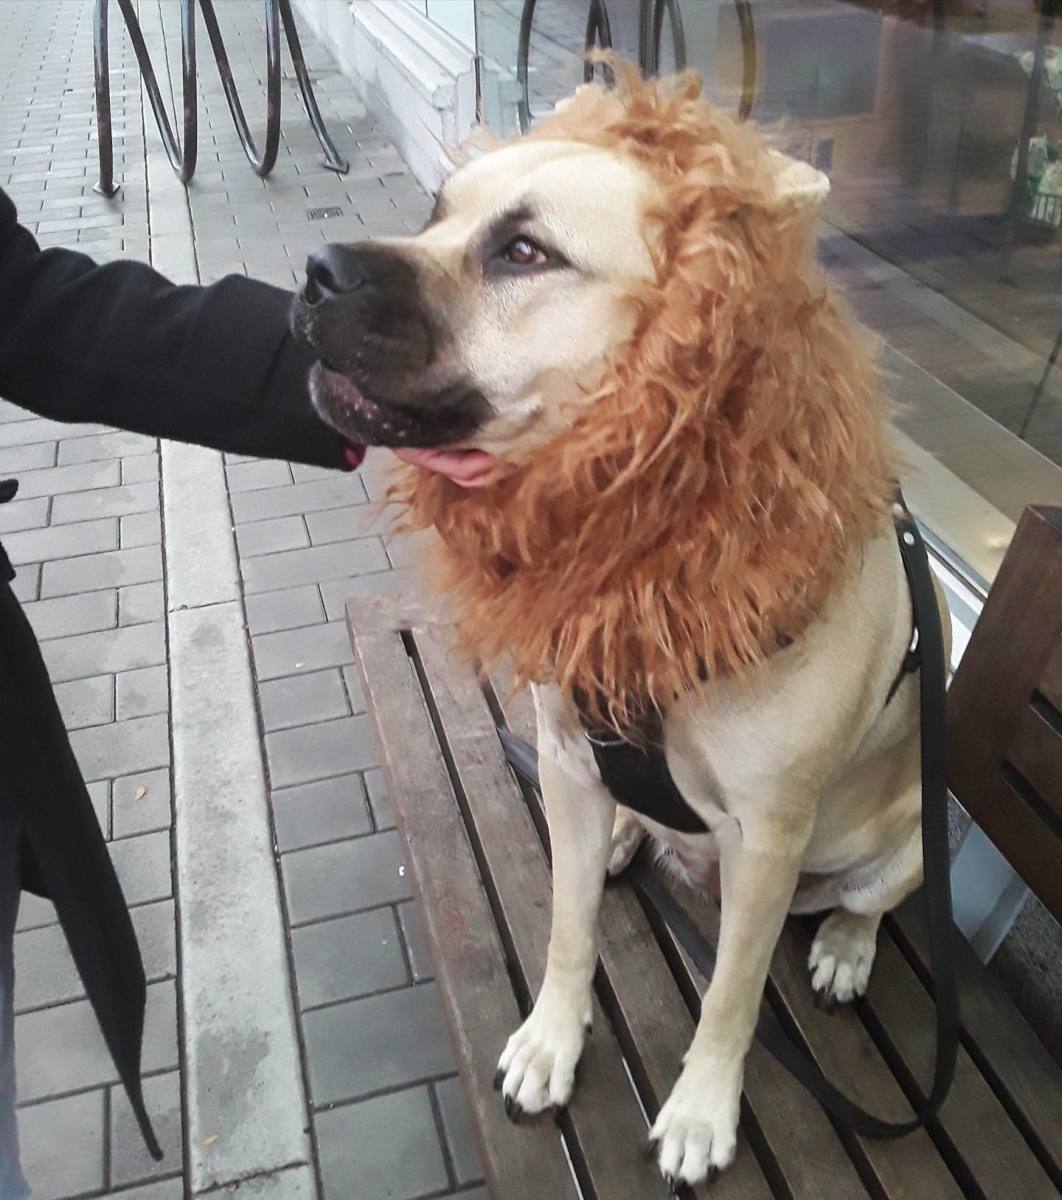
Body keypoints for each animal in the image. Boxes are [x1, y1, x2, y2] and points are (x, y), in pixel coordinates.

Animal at [291, 65, 949, 1189]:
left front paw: (701, 1110)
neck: (658, 547)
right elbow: (566, 932)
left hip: (906, 841)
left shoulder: (769, 839)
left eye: (524, 252)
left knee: (861, 903)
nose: (318, 270)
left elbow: (731, 999)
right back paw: (630, 839)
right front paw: (552, 1039)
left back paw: (843, 948)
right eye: (434, 212)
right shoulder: (563, 754)